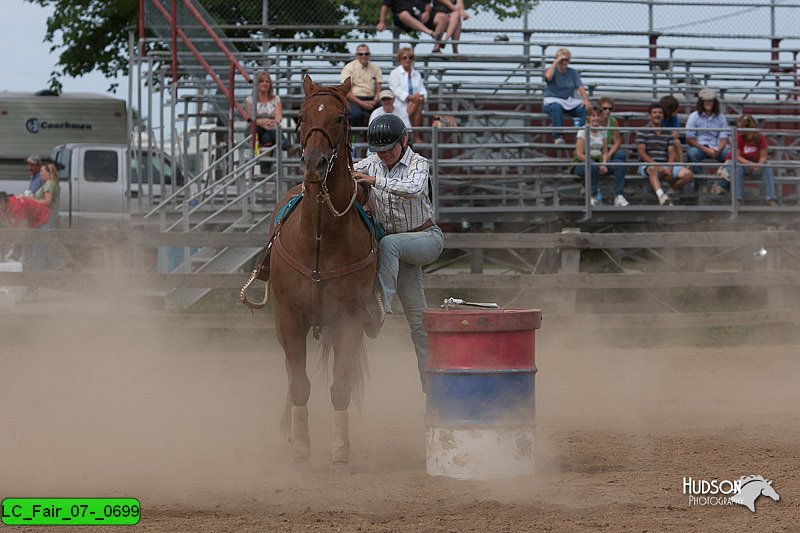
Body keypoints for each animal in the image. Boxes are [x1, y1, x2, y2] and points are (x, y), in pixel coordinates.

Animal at [242, 76, 376, 474]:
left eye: (341, 117)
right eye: (300, 116)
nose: (314, 164)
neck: (321, 238)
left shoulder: (349, 320)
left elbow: (340, 386)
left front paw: (340, 451)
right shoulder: (289, 319)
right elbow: (299, 383)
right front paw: (301, 449)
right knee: (292, 376)